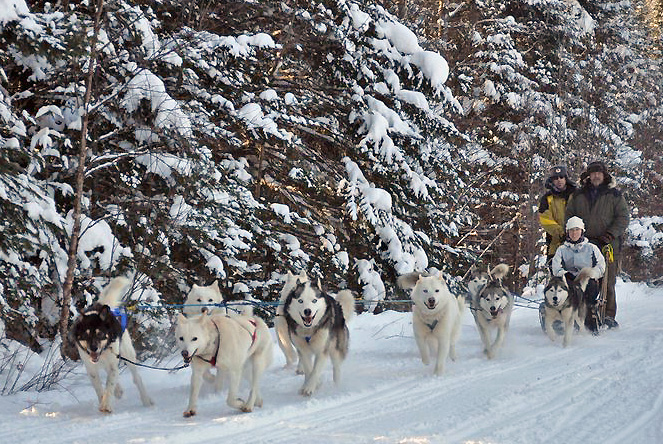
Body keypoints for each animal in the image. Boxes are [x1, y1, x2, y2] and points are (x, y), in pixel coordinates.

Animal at [69, 276, 154, 414]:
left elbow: (109, 384)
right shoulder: (91, 368)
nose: (93, 348)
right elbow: (99, 388)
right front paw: (103, 400)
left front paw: (107, 405)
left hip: (127, 355)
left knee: (136, 378)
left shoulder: (112, 362)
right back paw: (118, 390)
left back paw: (146, 400)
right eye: (86, 335)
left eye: (100, 334)